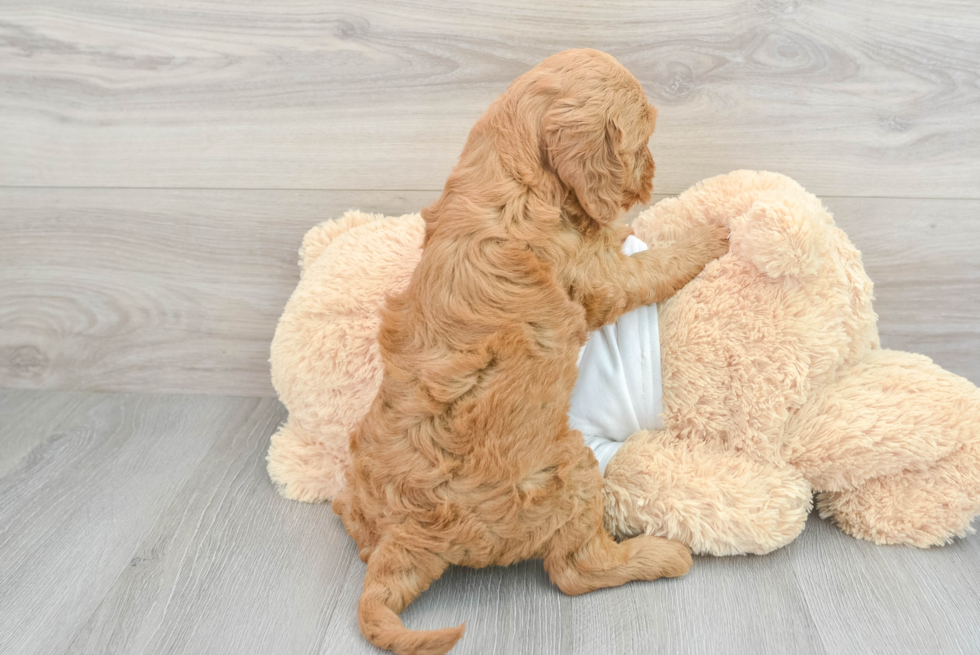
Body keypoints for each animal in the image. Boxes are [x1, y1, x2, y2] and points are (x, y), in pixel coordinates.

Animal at [334, 50, 732, 655]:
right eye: (641, 139)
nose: (652, 175)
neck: (510, 172)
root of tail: (404, 536)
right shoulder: (600, 278)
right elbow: (650, 265)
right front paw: (709, 235)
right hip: (569, 472)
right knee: (576, 570)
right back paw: (659, 555)